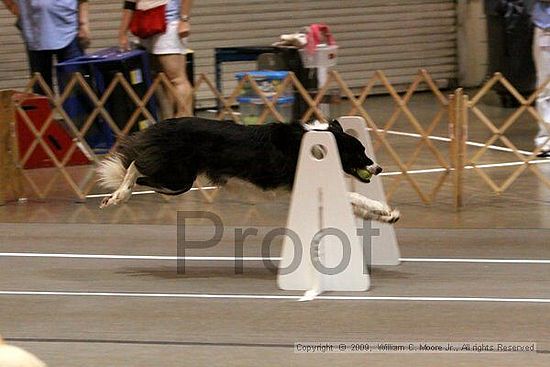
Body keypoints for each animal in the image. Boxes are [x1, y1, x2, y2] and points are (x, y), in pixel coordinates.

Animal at [98, 118, 396, 221]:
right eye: (359, 152)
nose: (379, 168)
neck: (321, 145)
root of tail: (161, 126)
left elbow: (353, 204)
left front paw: (386, 216)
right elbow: (355, 196)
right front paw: (381, 207)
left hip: (177, 178)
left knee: (137, 165)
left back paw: (115, 195)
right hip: (179, 178)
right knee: (136, 167)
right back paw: (119, 195)